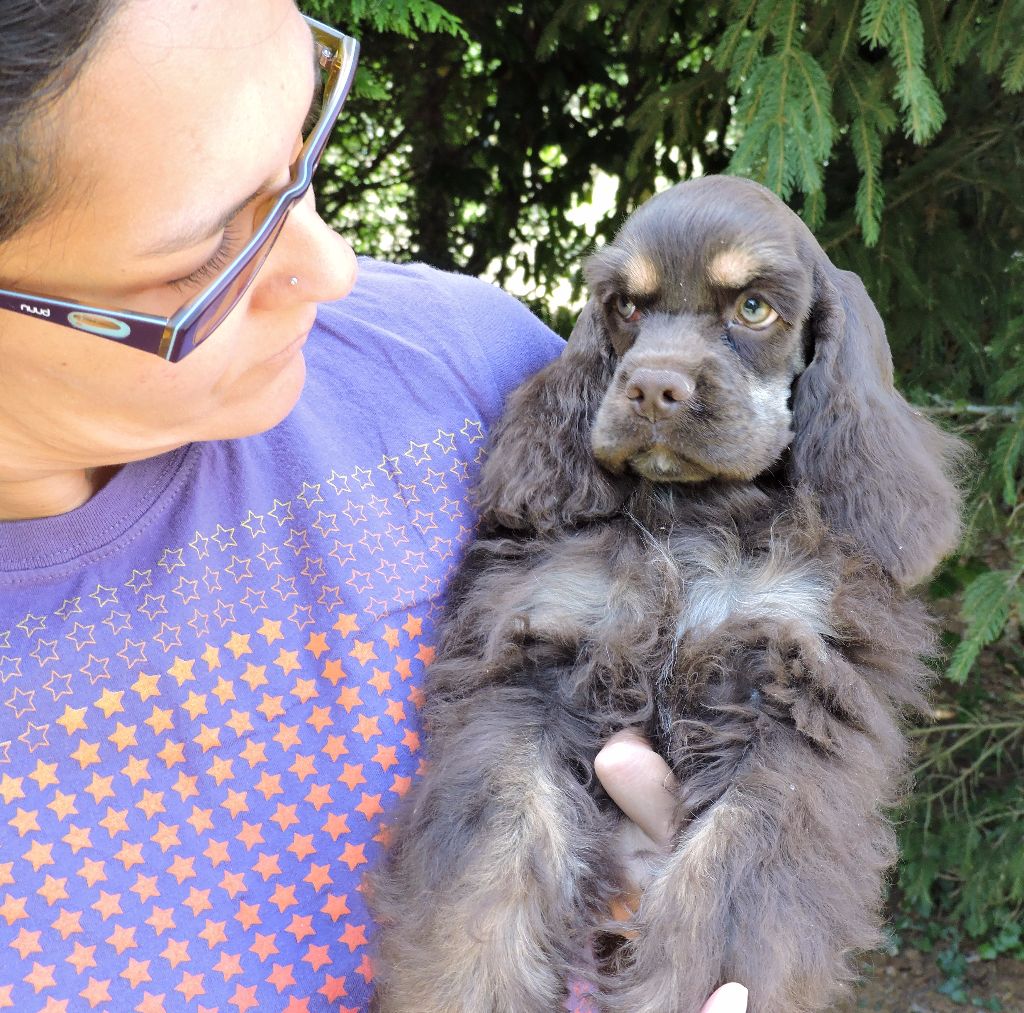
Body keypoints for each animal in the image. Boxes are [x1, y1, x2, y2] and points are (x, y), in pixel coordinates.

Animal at [369, 175, 965, 1012]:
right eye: (625, 305)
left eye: (754, 308)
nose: (654, 386)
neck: (692, 517)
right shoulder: (531, 664)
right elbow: (492, 861)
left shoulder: (793, 696)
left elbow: (725, 887)